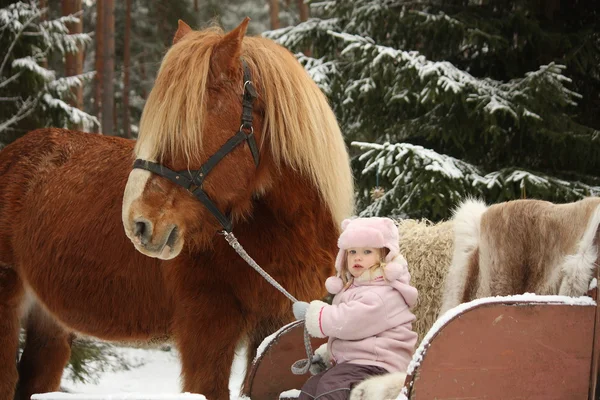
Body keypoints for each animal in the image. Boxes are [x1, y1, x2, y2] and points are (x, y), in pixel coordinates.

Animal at [0, 19, 354, 400]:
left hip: (48, 323)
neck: (282, 229)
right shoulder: (207, 325)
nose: (137, 224)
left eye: (187, 127)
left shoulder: (275, 327)